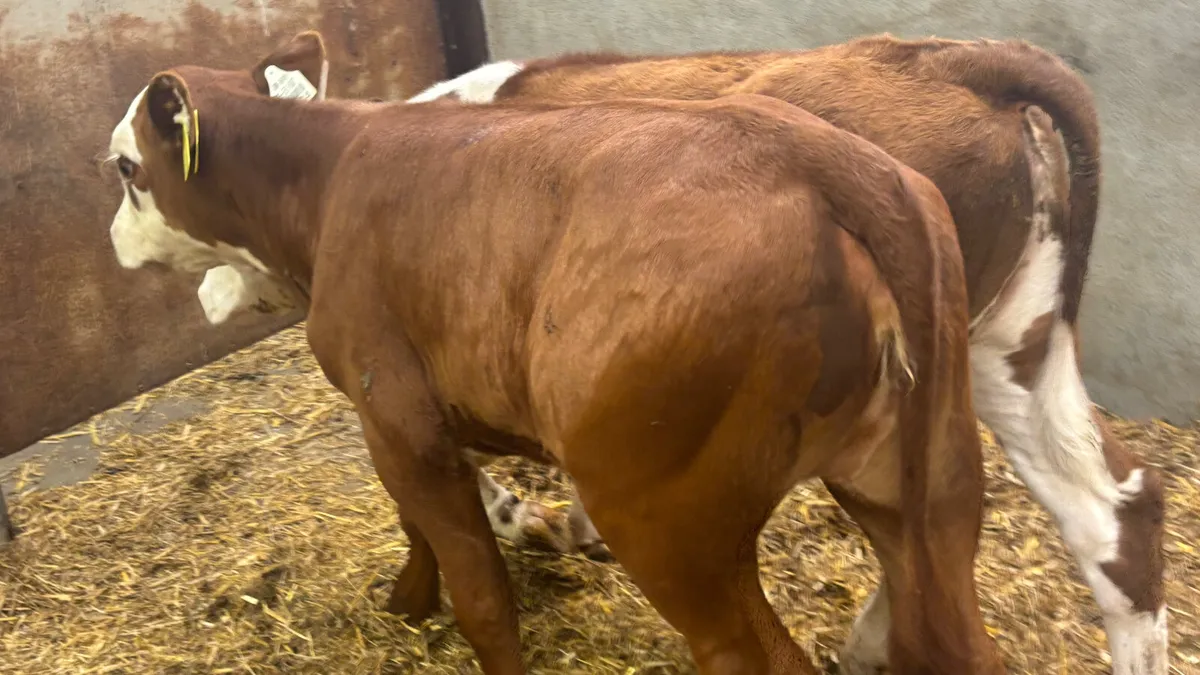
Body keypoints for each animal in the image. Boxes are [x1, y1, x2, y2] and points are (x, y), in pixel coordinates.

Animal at [106, 31, 1005, 675]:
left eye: (125, 168)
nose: (112, 242)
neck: (328, 179)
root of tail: (812, 153)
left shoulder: (396, 411)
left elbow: (480, 591)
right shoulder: (407, 415)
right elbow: (414, 523)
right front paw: (407, 598)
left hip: (665, 518)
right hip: (925, 488)